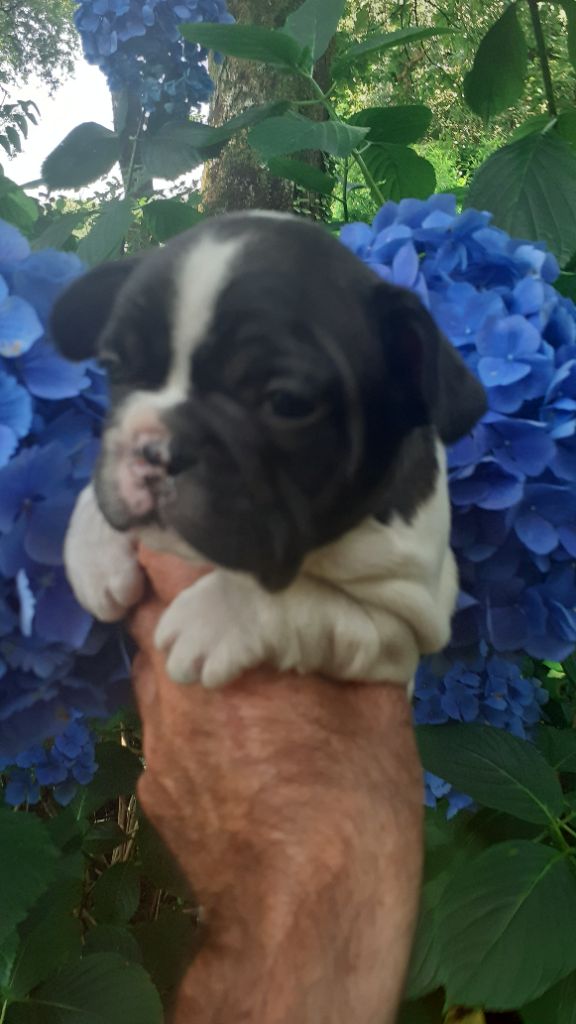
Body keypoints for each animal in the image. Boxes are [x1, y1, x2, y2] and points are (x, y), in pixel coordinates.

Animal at [50, 211, 486, 690]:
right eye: (112, 367)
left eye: (287, 403)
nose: (158, 449)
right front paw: (93, 548)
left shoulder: (401, 623)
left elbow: (308, 600)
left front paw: (212, 618)